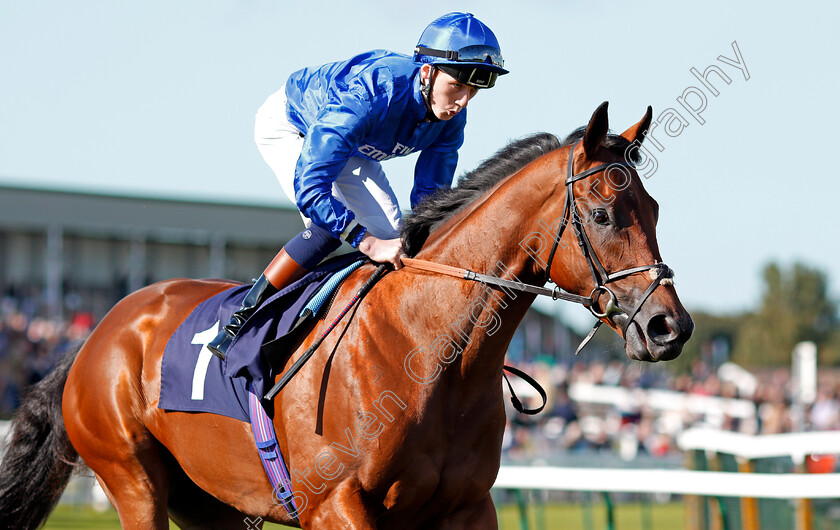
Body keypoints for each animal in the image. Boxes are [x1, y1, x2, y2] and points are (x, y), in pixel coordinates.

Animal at [0, 103, 692, 528]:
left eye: (656, 208)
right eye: (602, 213)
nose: (670, 327)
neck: (429, 350)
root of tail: (98, 334)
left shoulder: (467, 507)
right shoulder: (336, 505)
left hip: (209, 501)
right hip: (134, 480)